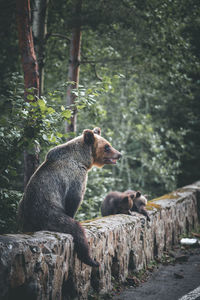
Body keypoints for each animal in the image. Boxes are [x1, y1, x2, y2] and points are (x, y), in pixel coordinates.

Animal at [18, 127, 121, 266]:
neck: (82, 159)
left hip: (23, 210)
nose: (119, 154)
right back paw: (91, 260)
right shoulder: (75, 176)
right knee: (76, 229)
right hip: (48, 214)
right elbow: (74, 199)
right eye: (107, 147)